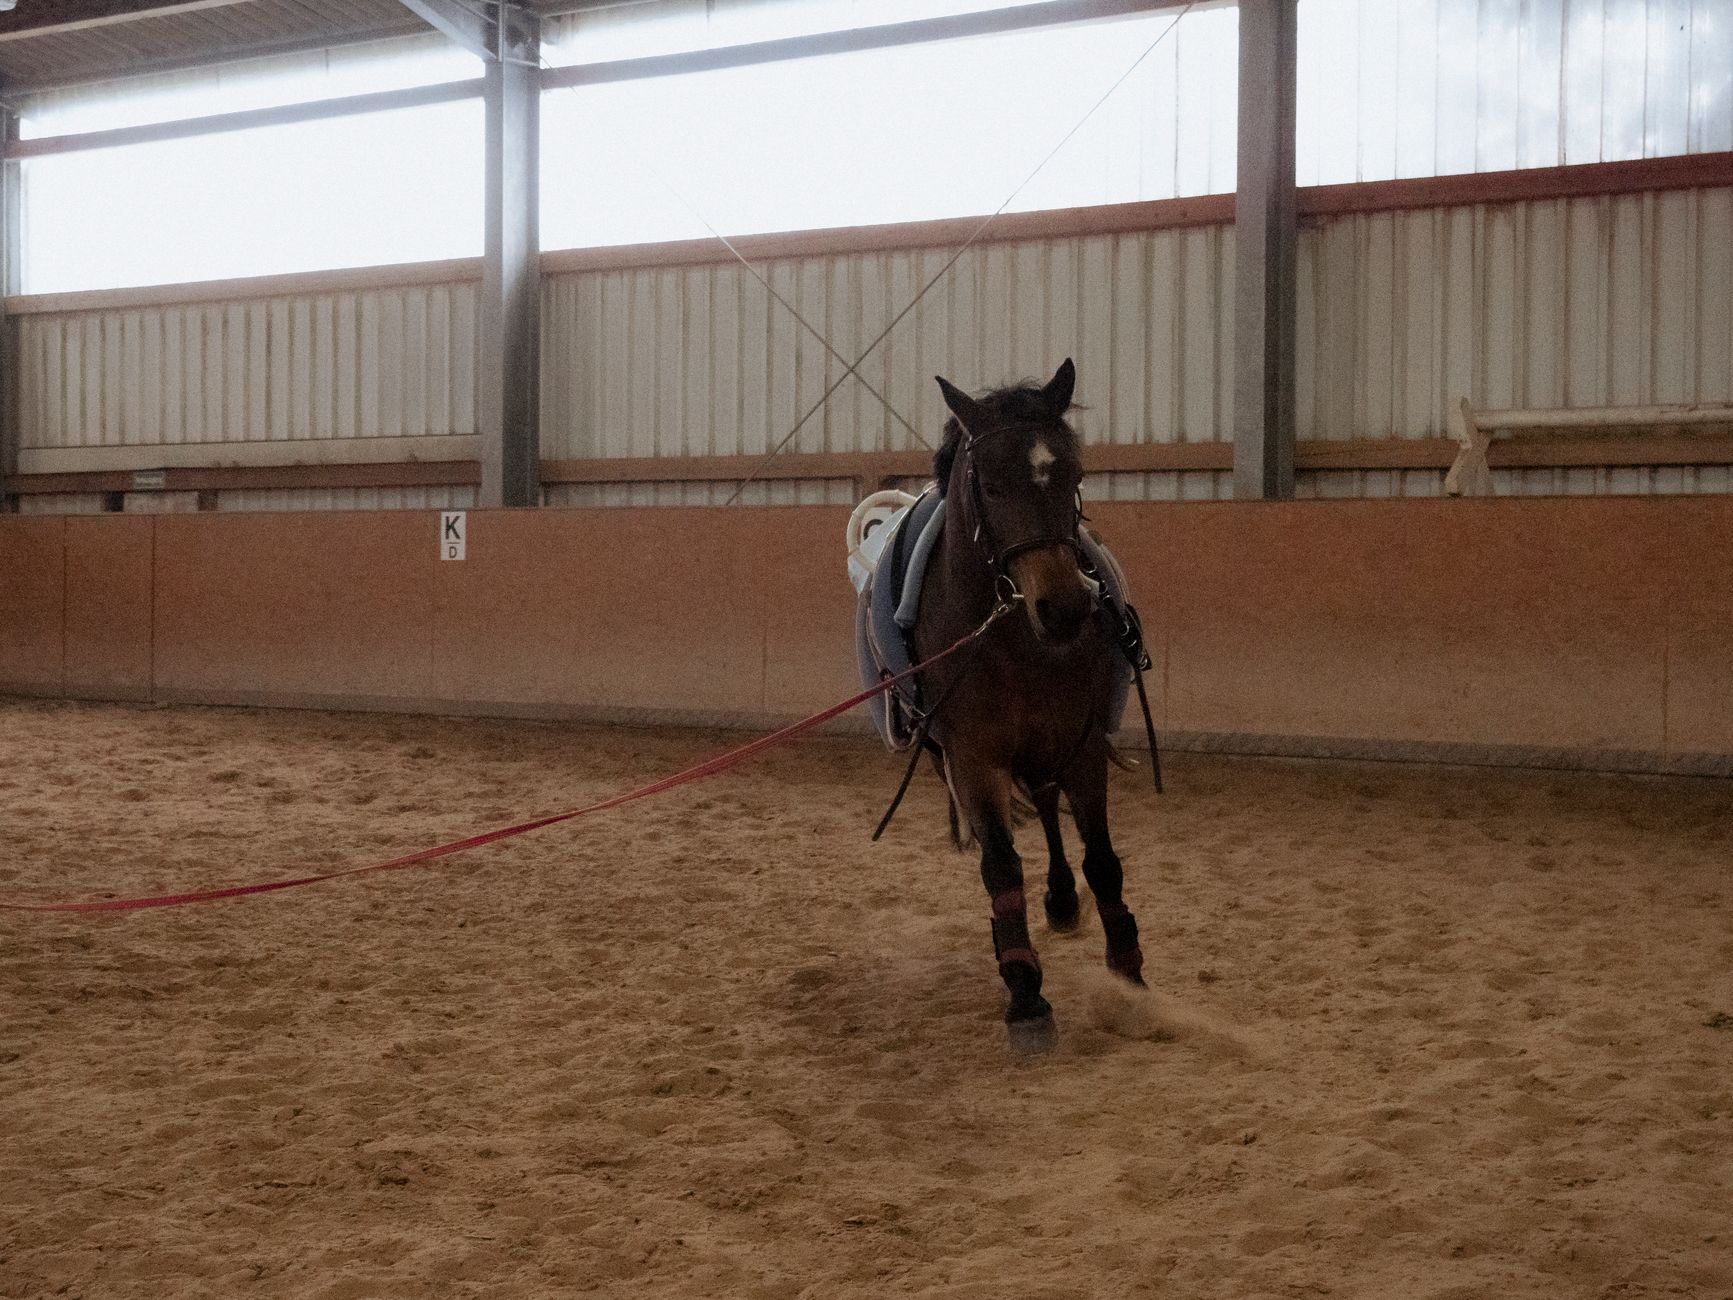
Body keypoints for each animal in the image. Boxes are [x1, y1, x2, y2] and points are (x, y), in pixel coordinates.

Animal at [911, 358, 1147, 1053]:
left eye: (1073, 475)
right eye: (990, 484)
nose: (1065, 609)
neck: (1013, 640)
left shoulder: (1081, 745)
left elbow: (1103, 861)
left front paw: (1129, 974)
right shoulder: (974, 759)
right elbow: (1000, 869)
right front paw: (1025, 995)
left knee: (1046, 807)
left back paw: (1064, 902)